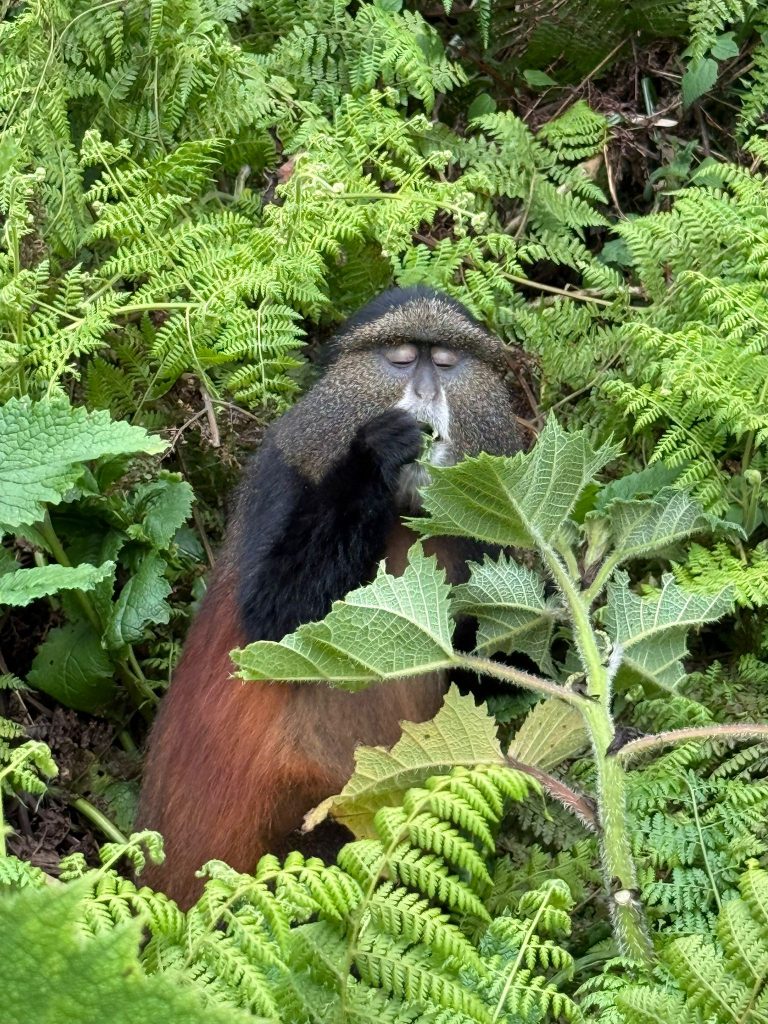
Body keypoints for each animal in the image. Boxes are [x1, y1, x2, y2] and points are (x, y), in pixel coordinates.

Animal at [136, 287, 524, 908]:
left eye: (445, 361)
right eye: (398, 357)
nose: (424, 392)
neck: (402, 515)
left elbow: (489, 670)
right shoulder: (282, 473)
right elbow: (272, 619)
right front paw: (374, 455)